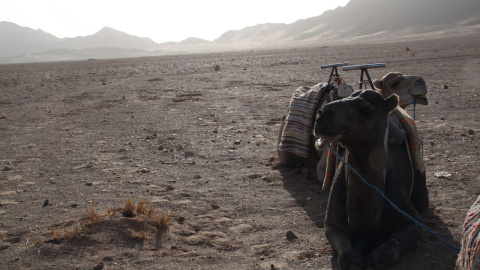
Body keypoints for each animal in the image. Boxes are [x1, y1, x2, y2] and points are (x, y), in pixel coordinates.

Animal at [316, 89, 428, 268]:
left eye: (367, 110)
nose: (323, 114)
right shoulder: (332, 225)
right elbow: (347, 255)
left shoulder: (412, 221)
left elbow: (389, 250)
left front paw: (380, 257)